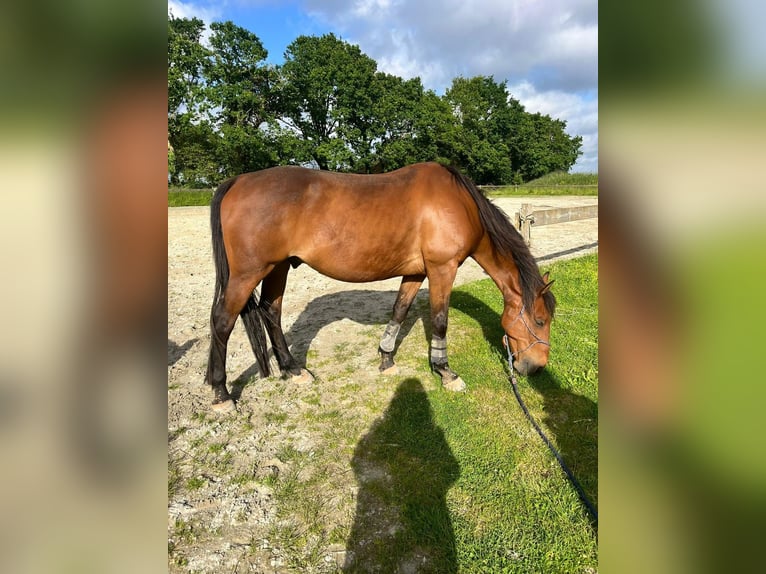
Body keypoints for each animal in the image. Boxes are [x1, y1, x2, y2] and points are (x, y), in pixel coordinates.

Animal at [207, 164, 556, 412]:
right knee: (223, 322)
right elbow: (440, 321)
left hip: (277, 268)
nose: (536, 367)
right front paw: (446, 372)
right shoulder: (442, 269)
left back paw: (293, 370)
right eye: (540, 321)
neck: (461, 204)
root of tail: (237, 181)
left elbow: (400, 310)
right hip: (247, 274)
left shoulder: (416, 273)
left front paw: (386, 359)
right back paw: (222, 394)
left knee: (271, 312)